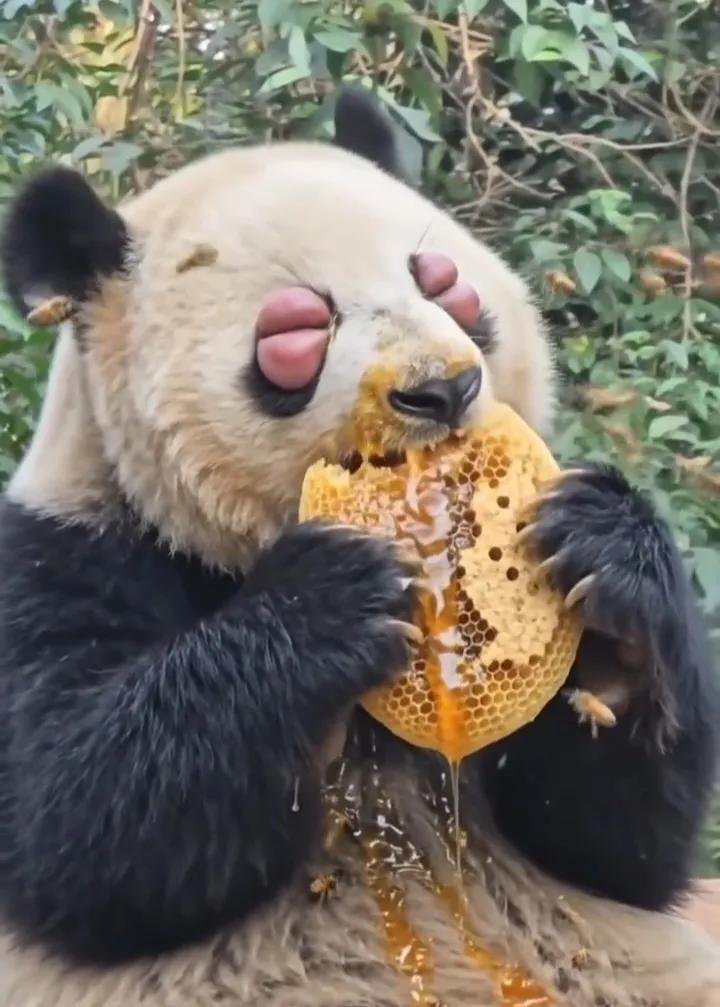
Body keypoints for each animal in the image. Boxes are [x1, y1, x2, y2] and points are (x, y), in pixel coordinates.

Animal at [0, 88, 718, 1007]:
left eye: (441, 280)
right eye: (300, 328)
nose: (442, 388)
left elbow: (613, 845)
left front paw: (608, 560)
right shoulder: (64, 554)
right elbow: (80, 827)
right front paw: (334, 597)